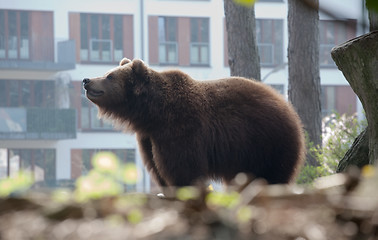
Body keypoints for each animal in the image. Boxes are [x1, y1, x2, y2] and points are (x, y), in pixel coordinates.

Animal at [82, 57, 304, 188]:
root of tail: (288, 107)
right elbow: (156, 166)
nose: (87, 80)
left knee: (272, 173)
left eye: (110, 76)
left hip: (267, 141)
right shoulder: (148, 137)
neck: (152, 113)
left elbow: (183, 167)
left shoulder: (181, 128)